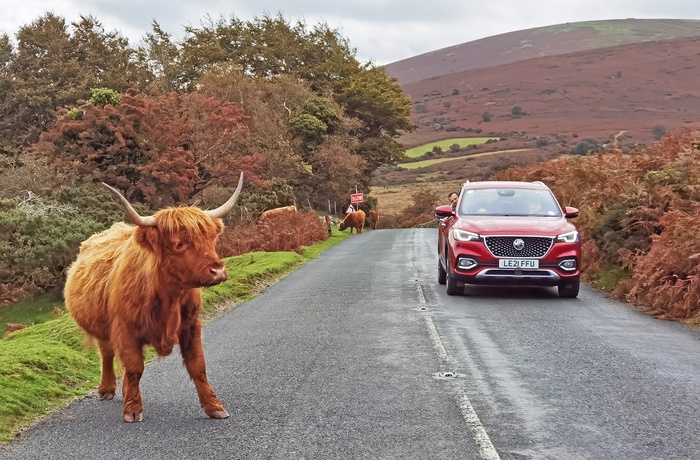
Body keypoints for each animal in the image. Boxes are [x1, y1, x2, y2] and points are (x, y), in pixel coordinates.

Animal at [63, 171, 243, 422]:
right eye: (179, 243)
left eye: (210, 239)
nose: (218, 270)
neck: (169, 298)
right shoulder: (125, 329)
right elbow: (134, 367)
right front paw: (132, 410)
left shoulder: (191, 325)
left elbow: (198, 366)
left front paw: (214, 406)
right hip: (102, 329)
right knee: (107, 354)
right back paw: (107, 389)